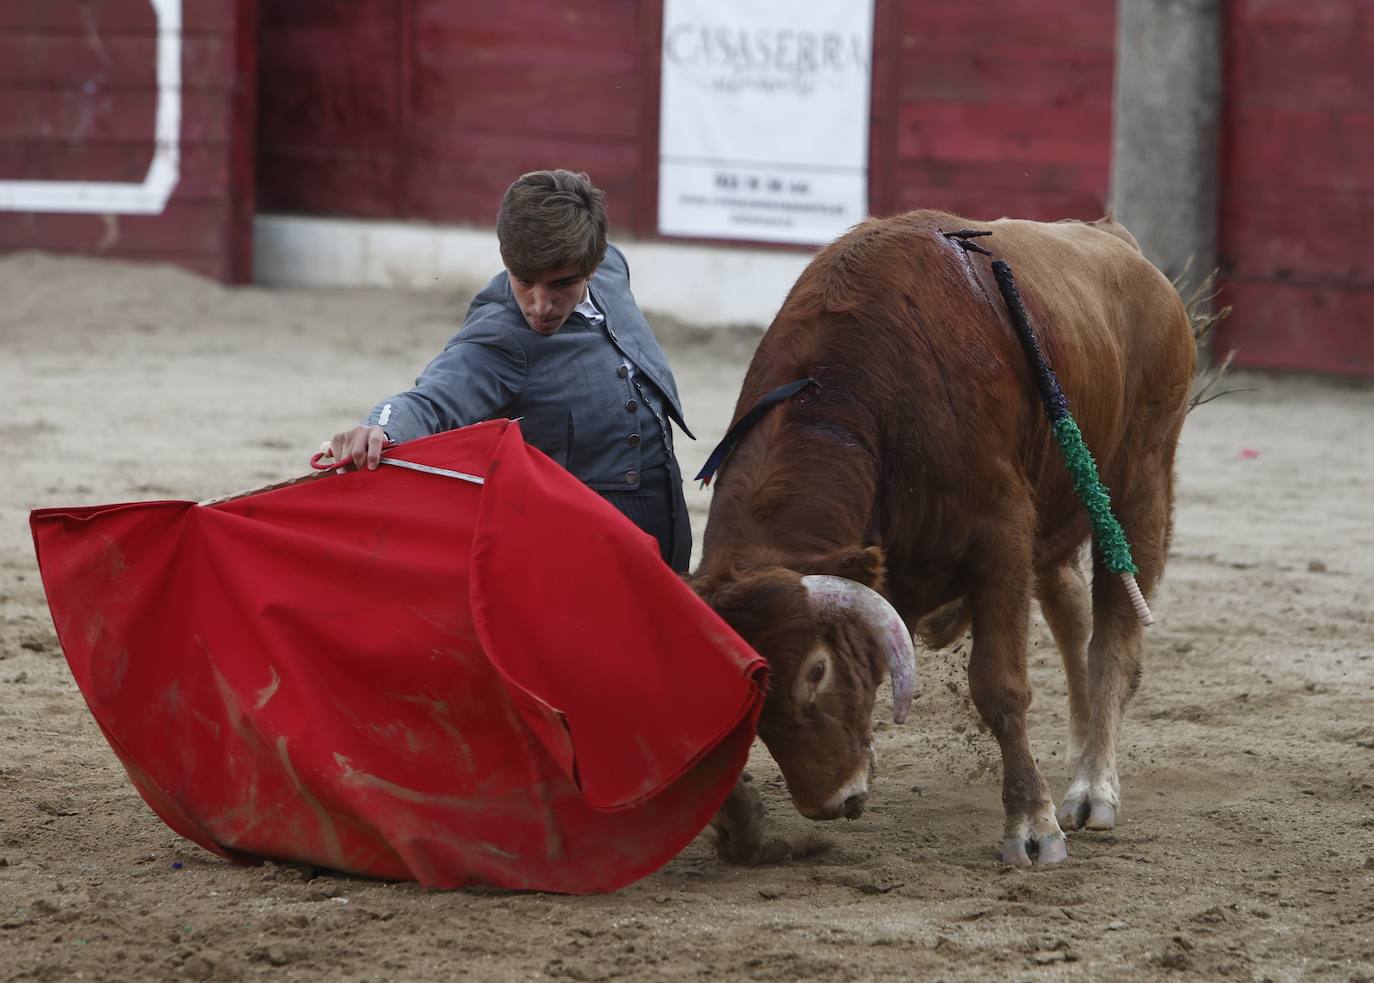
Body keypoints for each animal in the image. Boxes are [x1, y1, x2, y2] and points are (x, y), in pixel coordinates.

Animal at [692, 208, 1198, 868]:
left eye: (816, 670)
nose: (827, 802)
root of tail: (1119, 243)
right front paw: (737, 820)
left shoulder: (1001, 532)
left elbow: (1000, 685)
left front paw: (1032, 826)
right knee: (1067, 602)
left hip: (1138, 485)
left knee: (1112, 640)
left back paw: (1092, 789)